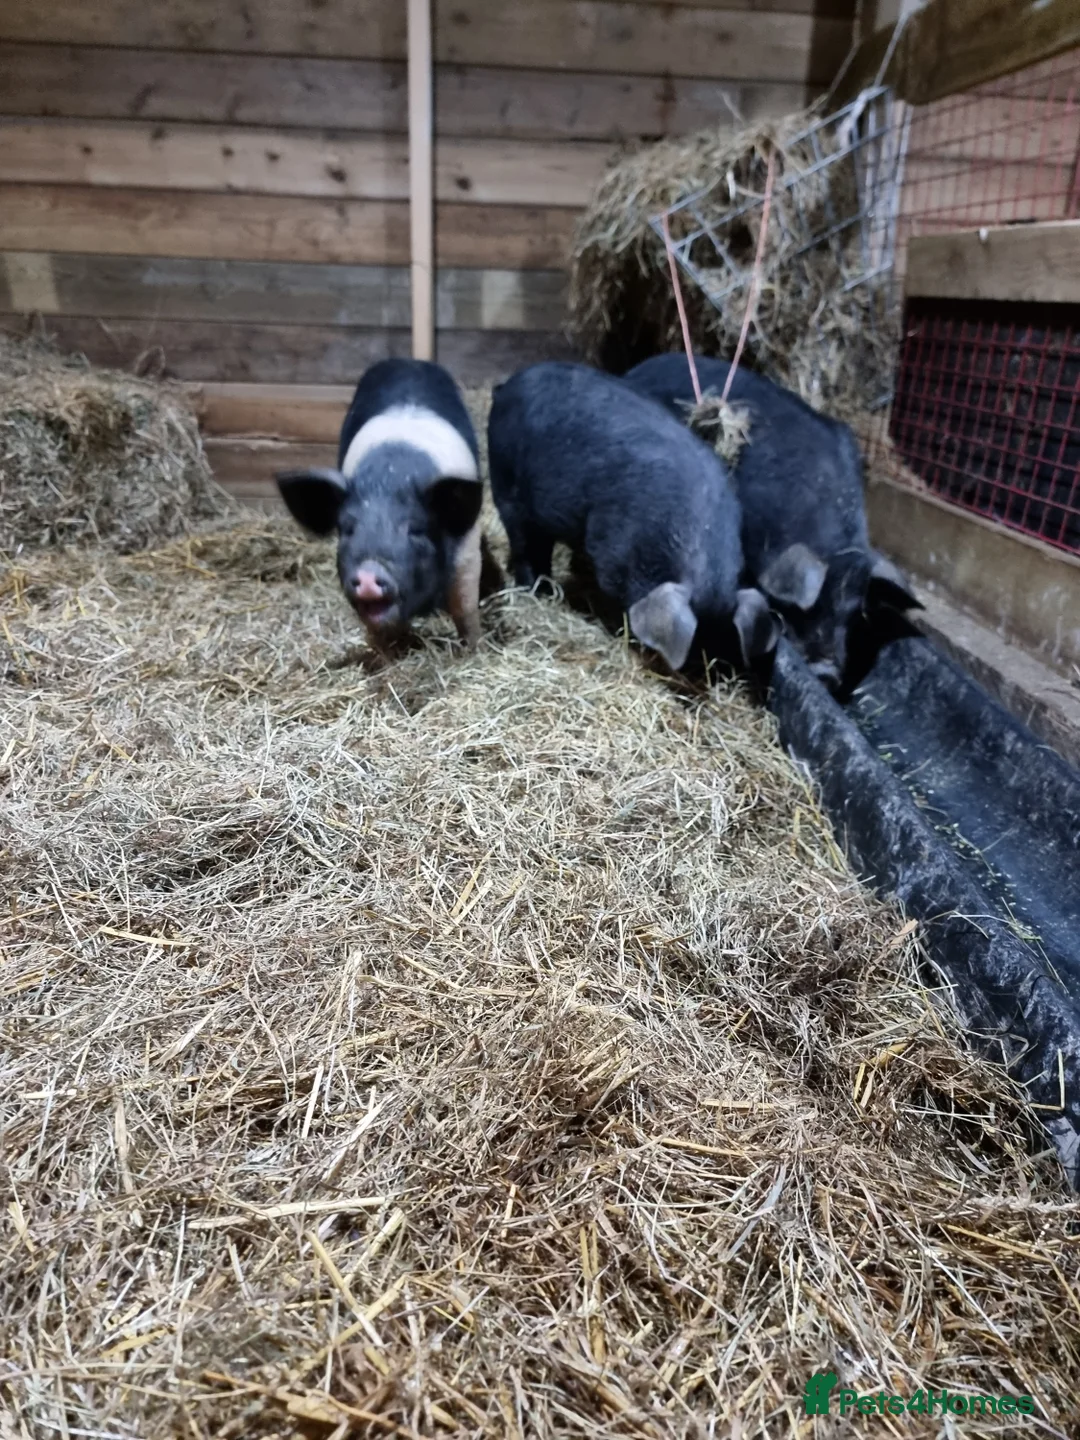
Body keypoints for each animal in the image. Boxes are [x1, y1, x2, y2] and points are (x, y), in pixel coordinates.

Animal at [275, 358, 485, 647]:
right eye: (347, 529)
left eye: (415, 530)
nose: (367, 575)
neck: (389, 476)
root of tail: (410, 362)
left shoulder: (467, 554)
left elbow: (465, 610)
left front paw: (473, 648)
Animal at [487, 361, 778, 673]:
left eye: (723, 634)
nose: (700, 669)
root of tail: (507, 387)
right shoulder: (611, 552)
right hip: (506, 485)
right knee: (525, 545)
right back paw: (538, 591)